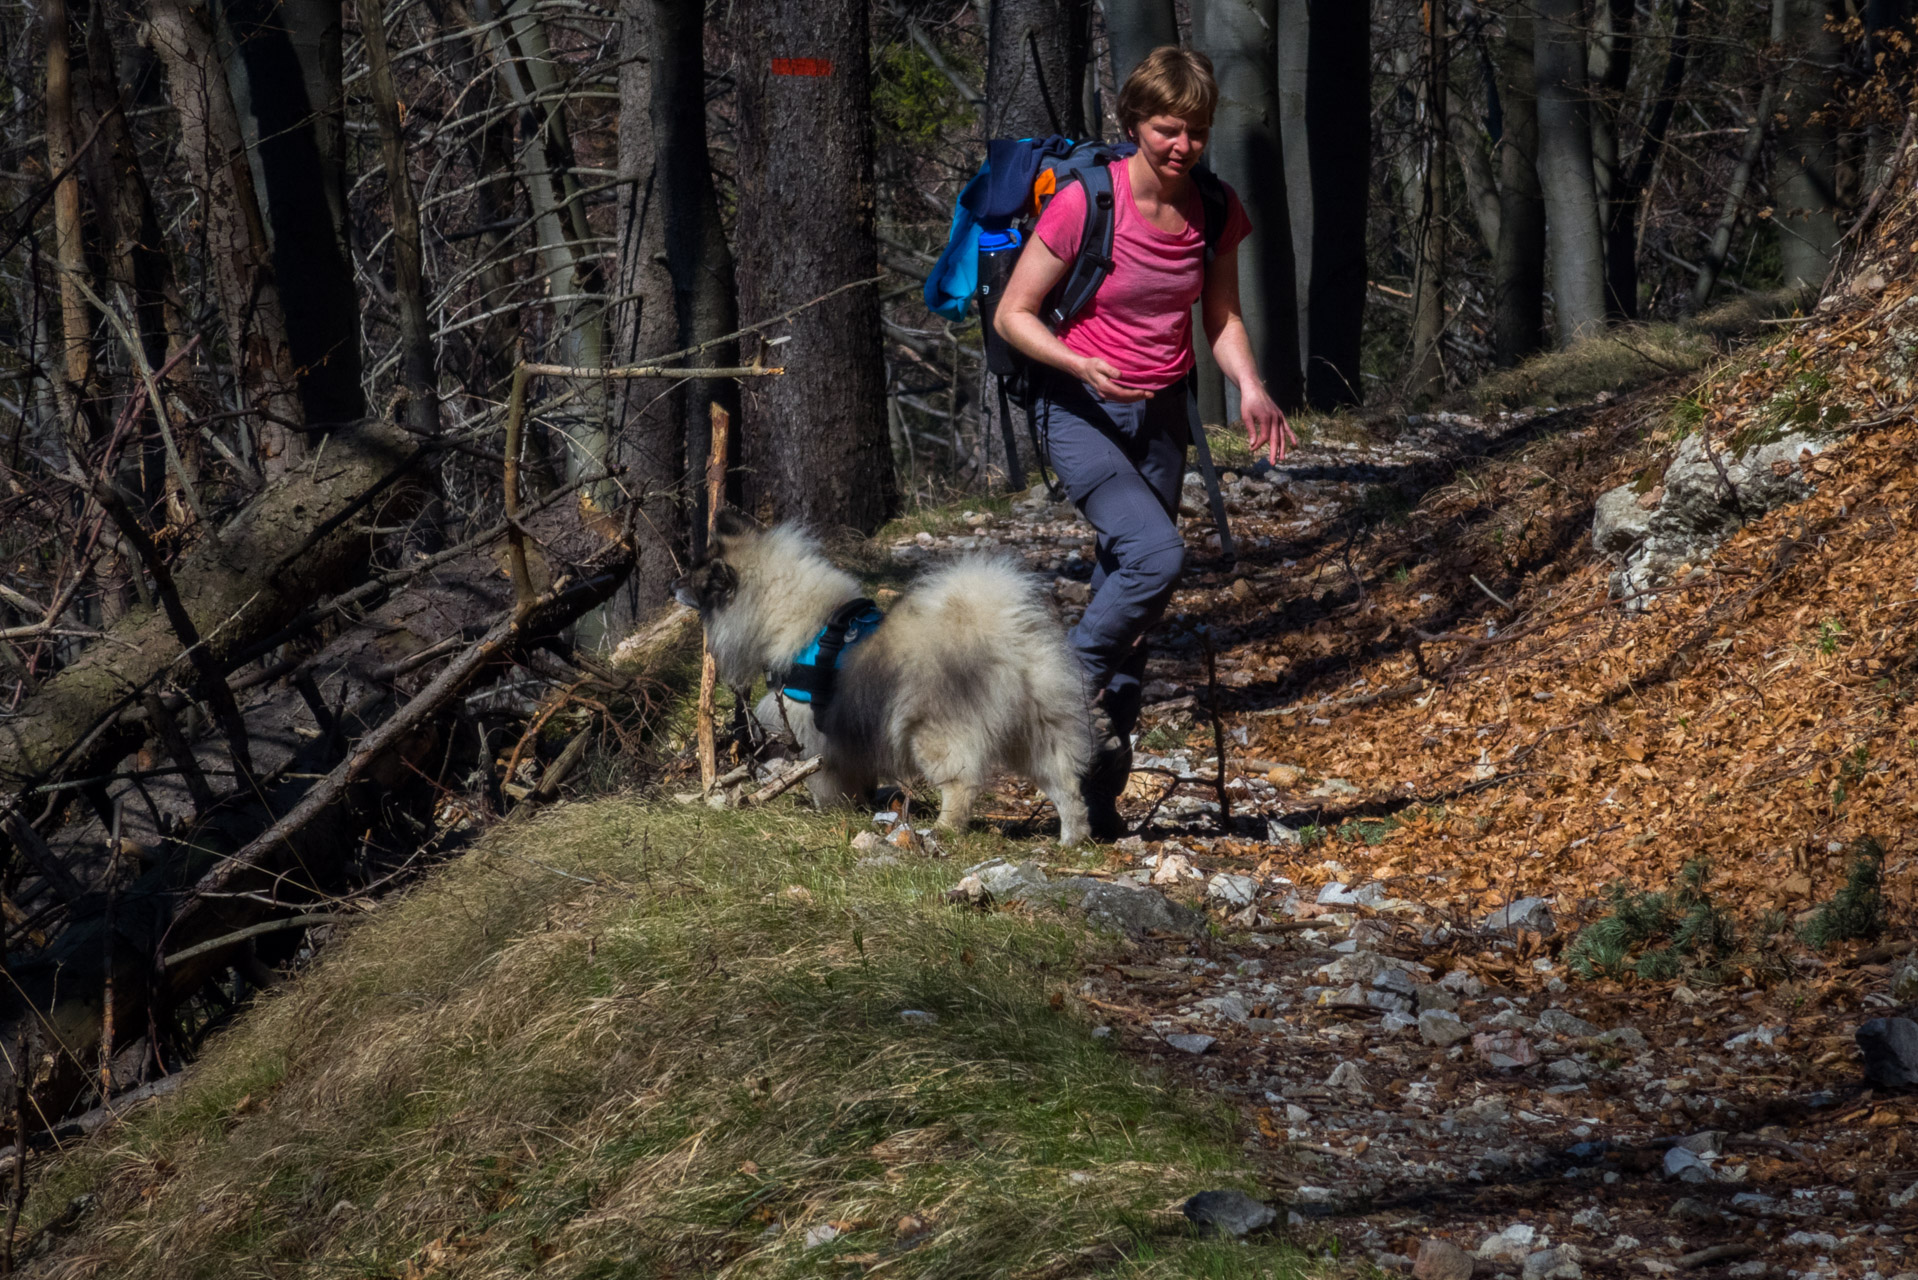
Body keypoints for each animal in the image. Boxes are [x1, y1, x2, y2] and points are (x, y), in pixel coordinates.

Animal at [675, 506, 1097, 844]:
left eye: (697, 579)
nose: (672, 583)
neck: (797, 620)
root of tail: (1002, 632)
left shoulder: (814, 732)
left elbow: (824, 778)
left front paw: (829, 809)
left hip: (935, 733)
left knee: (961, 783)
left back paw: (944, 829)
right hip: (1039, 727)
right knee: (1065, 782)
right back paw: (1073, 837)